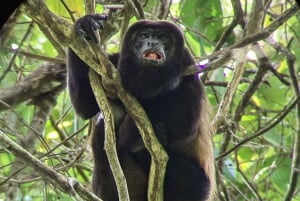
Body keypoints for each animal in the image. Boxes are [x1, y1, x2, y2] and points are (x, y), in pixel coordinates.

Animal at [67, 14, 214, 201]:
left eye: (163, 38)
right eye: (144, 36)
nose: (152, 42)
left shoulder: (187, 64)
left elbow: (186, 123)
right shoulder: (116, 62)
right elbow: (84, 105)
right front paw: (85, 26)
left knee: (195, 180)